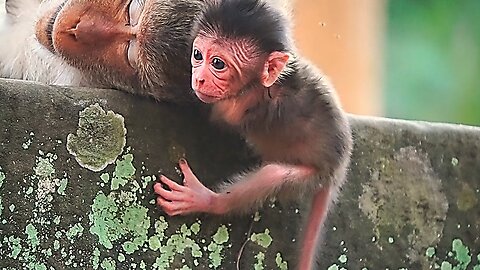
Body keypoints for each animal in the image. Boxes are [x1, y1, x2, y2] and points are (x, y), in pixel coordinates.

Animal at [154, 0, 352, 268]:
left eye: (218, 64)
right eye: (198, 55)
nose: (199, 79)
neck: (261, 86)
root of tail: (339, 167)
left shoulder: (237, 105)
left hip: (313, 175)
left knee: (272, 175)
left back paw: (208, 200)